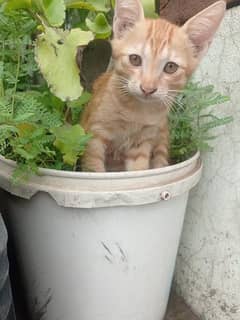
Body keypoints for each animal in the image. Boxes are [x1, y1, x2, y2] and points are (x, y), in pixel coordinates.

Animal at [81, 0, 226, 172]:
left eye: (171, 67)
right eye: (135, 59)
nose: (147, 89)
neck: (136, 111)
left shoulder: (142, 142)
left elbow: (138, 172)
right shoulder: (94, 135)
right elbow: (94, 168)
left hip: (162, 136)